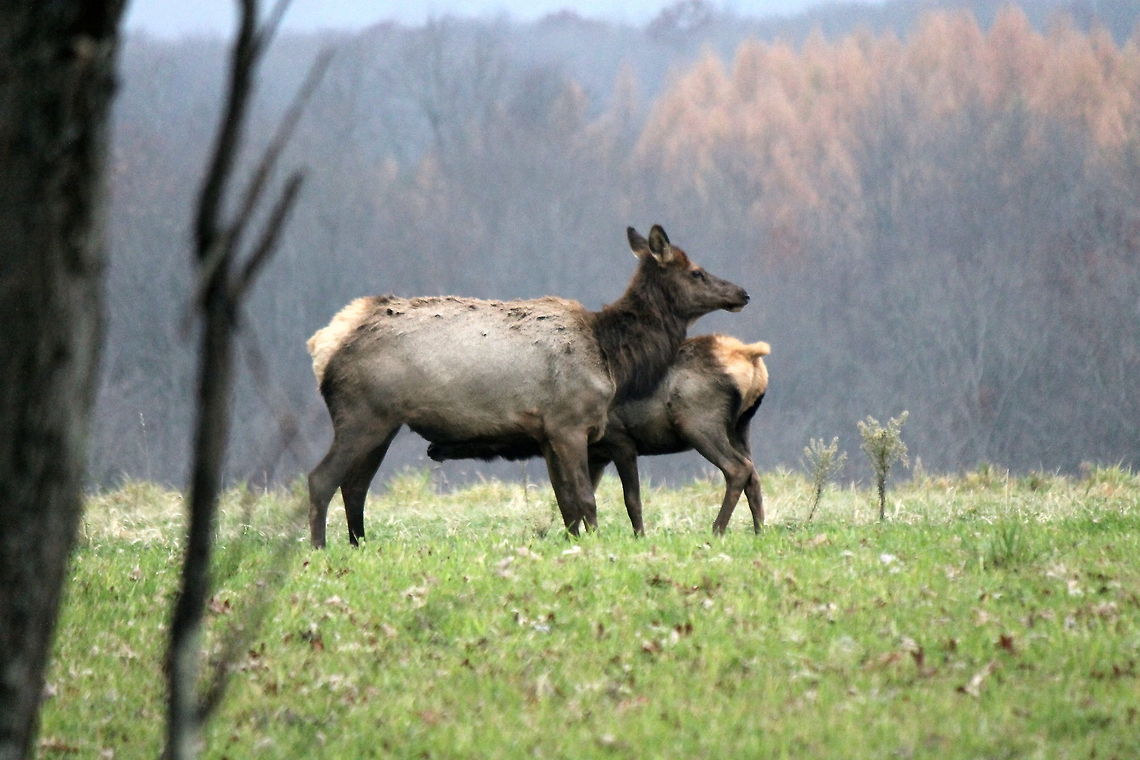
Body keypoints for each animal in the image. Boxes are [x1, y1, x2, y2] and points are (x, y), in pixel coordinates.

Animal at [428, 334, 771, 535]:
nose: (431, 446)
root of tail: (751, 355)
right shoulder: (594, 455)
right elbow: (573, 499)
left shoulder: (620, 441)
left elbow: (630, 499)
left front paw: (638, 537)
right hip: (741, 427)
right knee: (753, 474)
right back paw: (759, 531)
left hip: (699, 422)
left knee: (737, 469)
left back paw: (717, 530)